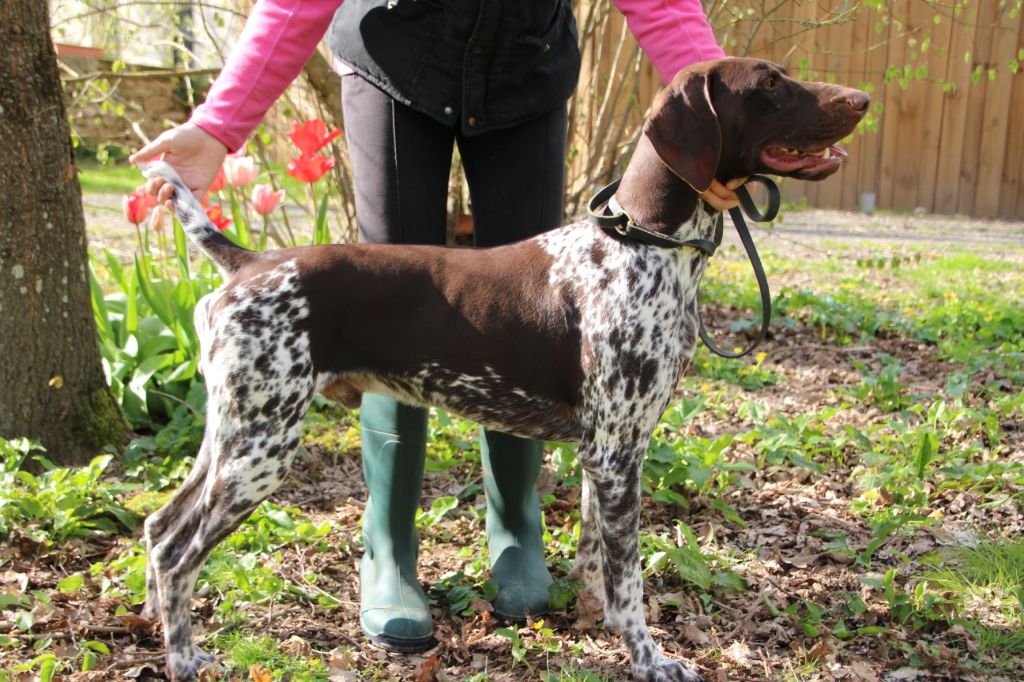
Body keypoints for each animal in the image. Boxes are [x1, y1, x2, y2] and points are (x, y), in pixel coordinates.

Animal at [140, 59, 868, 679]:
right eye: (769, 83)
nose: (862, 98)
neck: (641, 246)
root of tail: (249, 263)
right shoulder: (616, 455)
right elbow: (630, 581)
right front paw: (649, 659)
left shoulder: (608, 453)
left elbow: (598, 567)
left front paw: (591, 625)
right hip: (261, 447)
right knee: (177, 551)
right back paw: (182, 658)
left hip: (231, 437)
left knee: (157, 527)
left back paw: (158, 628)